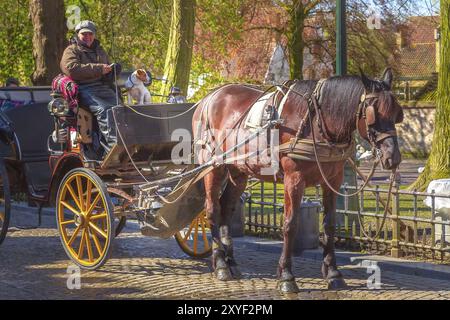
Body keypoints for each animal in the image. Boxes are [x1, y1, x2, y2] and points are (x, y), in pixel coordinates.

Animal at [192, 69, 402, 294]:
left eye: (396, 113)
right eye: (373, 114)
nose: (393, 157)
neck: (316, 121)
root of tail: (208, 98)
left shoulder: (333, 180)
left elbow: (329, 225)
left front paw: (333, 273)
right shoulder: (293, 179)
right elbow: (290, 224)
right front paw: (286, 275)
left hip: (239, 171)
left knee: (226, 208)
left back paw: (230, 262)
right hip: (213, 168)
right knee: (212, 209)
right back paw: (220, 263)